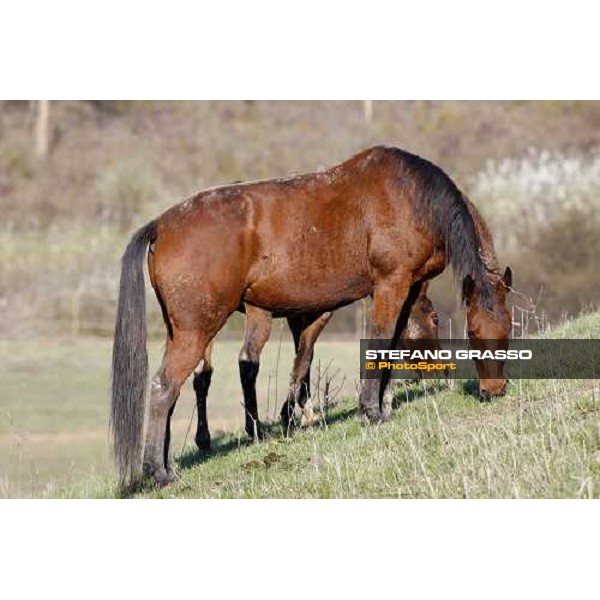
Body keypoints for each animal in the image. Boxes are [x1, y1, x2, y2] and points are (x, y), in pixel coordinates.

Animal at [192, 284, 440, 452]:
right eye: (435, 318)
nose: (440, 371)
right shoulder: (320, 312)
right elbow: (304, 357)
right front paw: (292, 415)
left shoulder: (297, 313)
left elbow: (301, 356)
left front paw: (303, 409)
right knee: (243, 361)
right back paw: (254, 429)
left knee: (201, 376)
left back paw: (204, 439)